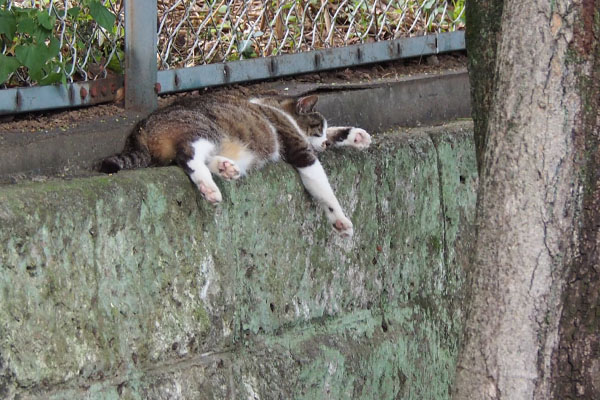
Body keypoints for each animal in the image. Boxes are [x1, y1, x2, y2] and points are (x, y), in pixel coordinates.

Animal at [101, 93, 372, 238]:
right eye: (318, 127)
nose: (324, 143)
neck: (272, 104)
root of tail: (140, 126)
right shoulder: (300, 149)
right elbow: (324, 188)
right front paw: (340, 220)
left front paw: (356, 136)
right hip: (204, 130)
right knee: (187, 156)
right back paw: (209, 187)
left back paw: (225, 167)